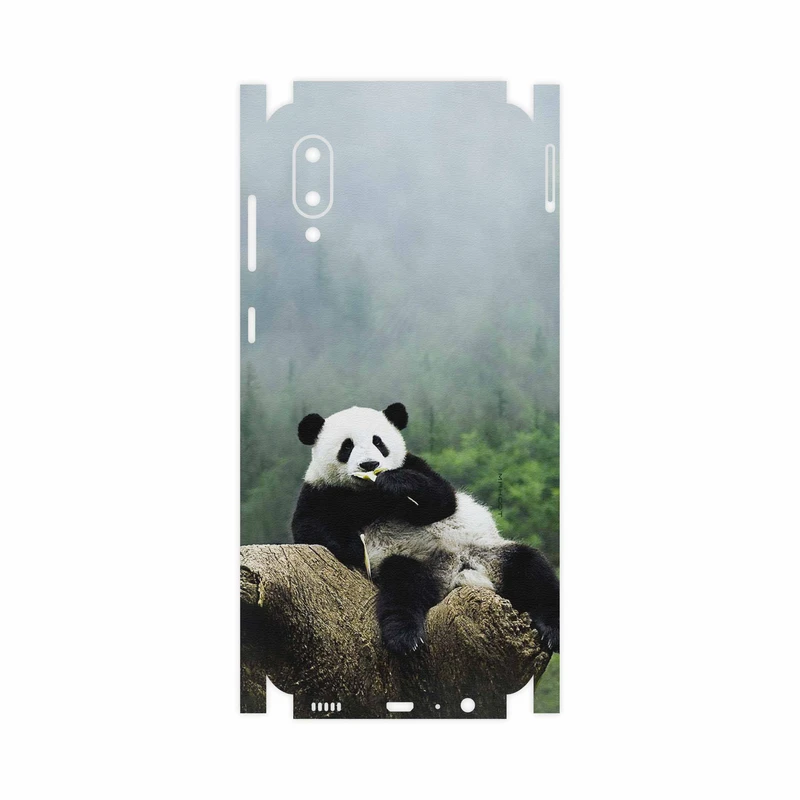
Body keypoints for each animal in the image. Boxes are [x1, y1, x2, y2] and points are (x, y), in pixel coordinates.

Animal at [292, 403, 560, 655]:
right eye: (347, 446)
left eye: (378, 442)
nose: (370, 464)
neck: (368, 493)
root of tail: (458, 573)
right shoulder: (320, 491)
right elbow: (309, 528)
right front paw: (356, 547)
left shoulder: (415, 465)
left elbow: (442, 500)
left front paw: (395, 483)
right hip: (414, 562)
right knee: (403, 586)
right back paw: (405, 637)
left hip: (490, 553)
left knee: (532, 569)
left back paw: (552, 631)